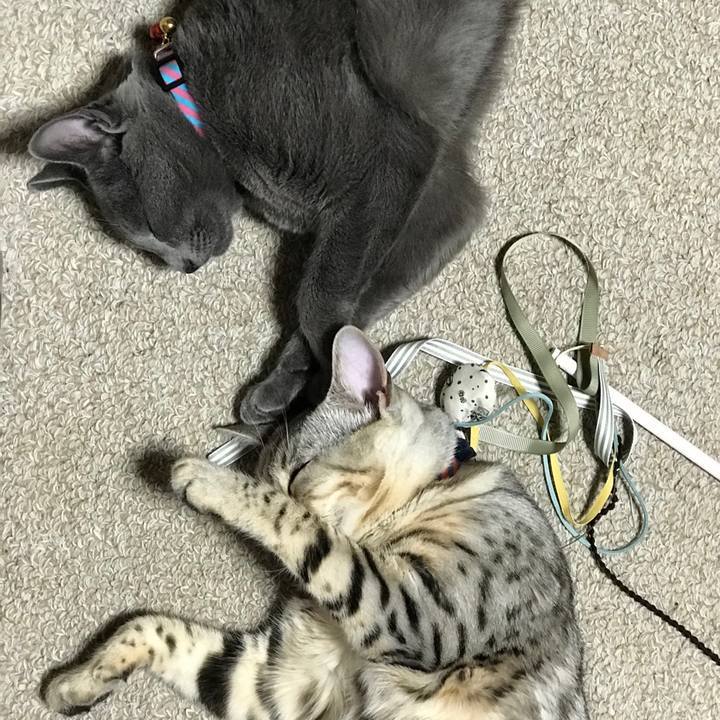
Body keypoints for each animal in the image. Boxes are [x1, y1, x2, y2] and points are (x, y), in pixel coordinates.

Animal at [26, 0, 517, 427]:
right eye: (147, 246)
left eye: (149, 225)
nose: (184, 267)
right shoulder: (428, 208)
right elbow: (358, 294)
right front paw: (292, 384)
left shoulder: (397, 169)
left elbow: (318, 298)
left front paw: (336, 380)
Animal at [41, 327, 588, 720]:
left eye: (299, 473)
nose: (287, 484)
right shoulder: (279, 678)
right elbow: (154, 628)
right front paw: (77, 682)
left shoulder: (419, 609)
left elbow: (304, 527)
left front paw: (206, 478)